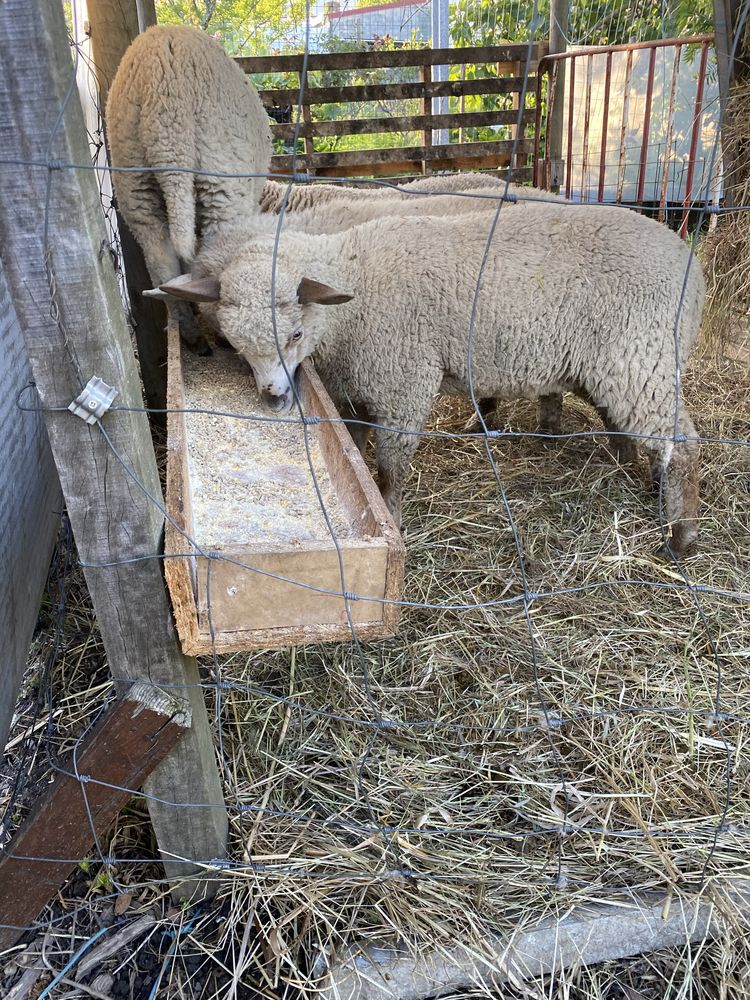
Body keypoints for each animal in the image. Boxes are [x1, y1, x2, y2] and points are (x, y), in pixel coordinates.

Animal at [162, 204, 708, 560]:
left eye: (295, 332)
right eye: (233, 343)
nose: (273, 399)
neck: (351, 298)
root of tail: (689, 263)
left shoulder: (402, 382)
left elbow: (390, 469)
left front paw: (392, 518)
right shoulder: (356, 389)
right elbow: (356, 448)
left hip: (640, 354)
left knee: (682, 445)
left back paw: (680, 536)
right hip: (614, 364)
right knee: (631, 428)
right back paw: (637, 477)